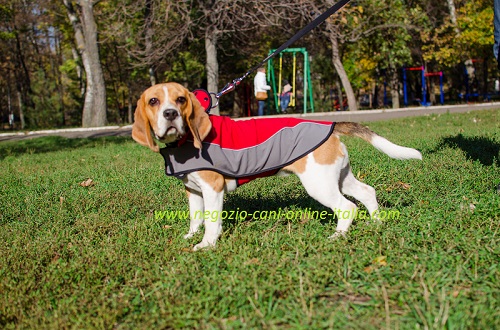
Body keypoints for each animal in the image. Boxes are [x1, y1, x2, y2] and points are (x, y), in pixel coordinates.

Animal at [133, 82, 422, 250]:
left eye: (181, 100)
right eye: (153, 101)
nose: (170, 114)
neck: (183, 141)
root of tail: (330, 125)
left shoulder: (212, 188)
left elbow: (212, 221)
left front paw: (206, 245)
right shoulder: (193, 190)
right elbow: (196, 218)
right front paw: (191, 236)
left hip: (319, 185)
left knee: (347, 207)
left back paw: (337, 237)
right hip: (340, 177)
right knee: (367, 193)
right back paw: (377, 224)